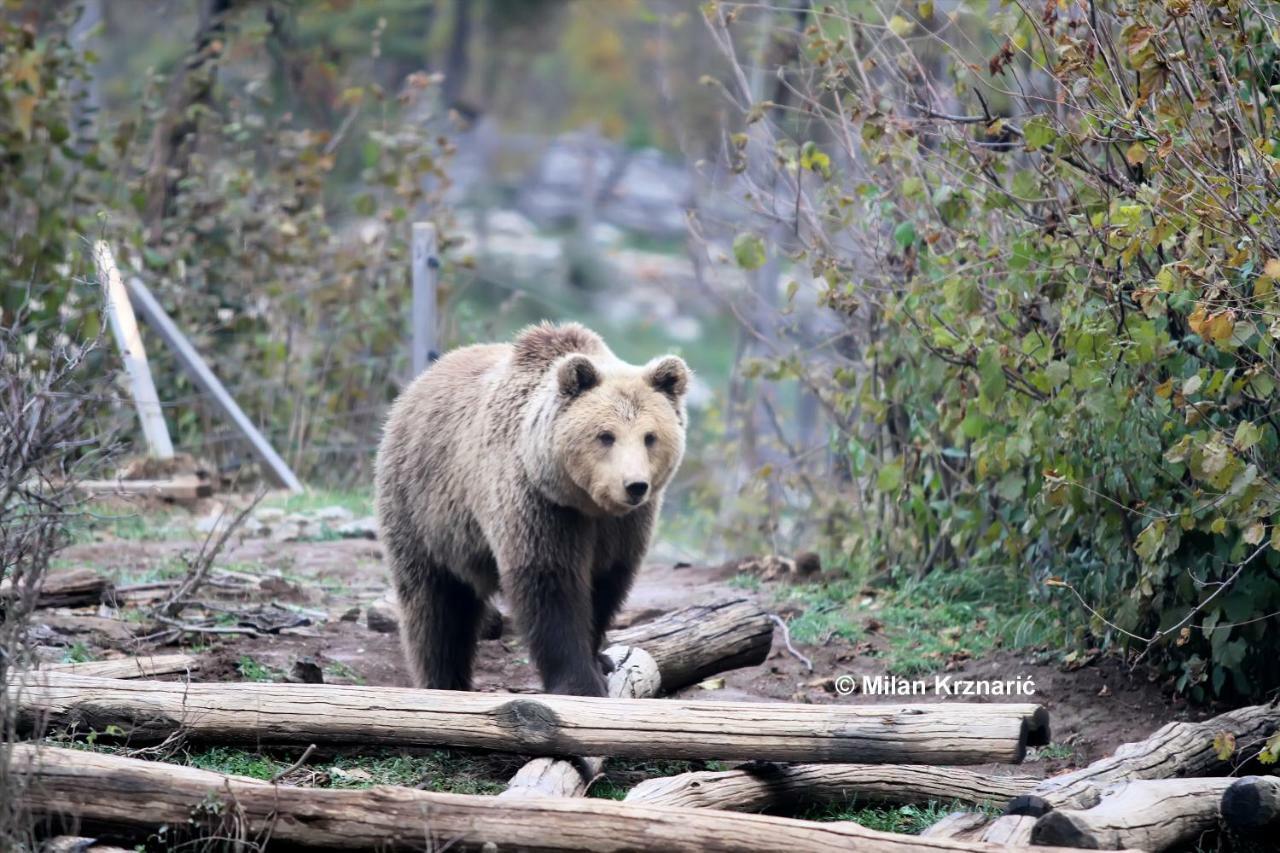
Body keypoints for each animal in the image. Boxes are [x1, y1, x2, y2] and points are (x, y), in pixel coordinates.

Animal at [373, 322, 691, 696]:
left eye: (650, 436)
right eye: (606, 435)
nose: (635, 485)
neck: (586, 502)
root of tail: (417, 385)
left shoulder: (624, 526)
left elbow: (606, 584)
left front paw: (600, 660)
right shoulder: (538, 504)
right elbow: (550, 585)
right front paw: (579, 682)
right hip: (423, 507)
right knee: (436, 606)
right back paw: (443, 680)